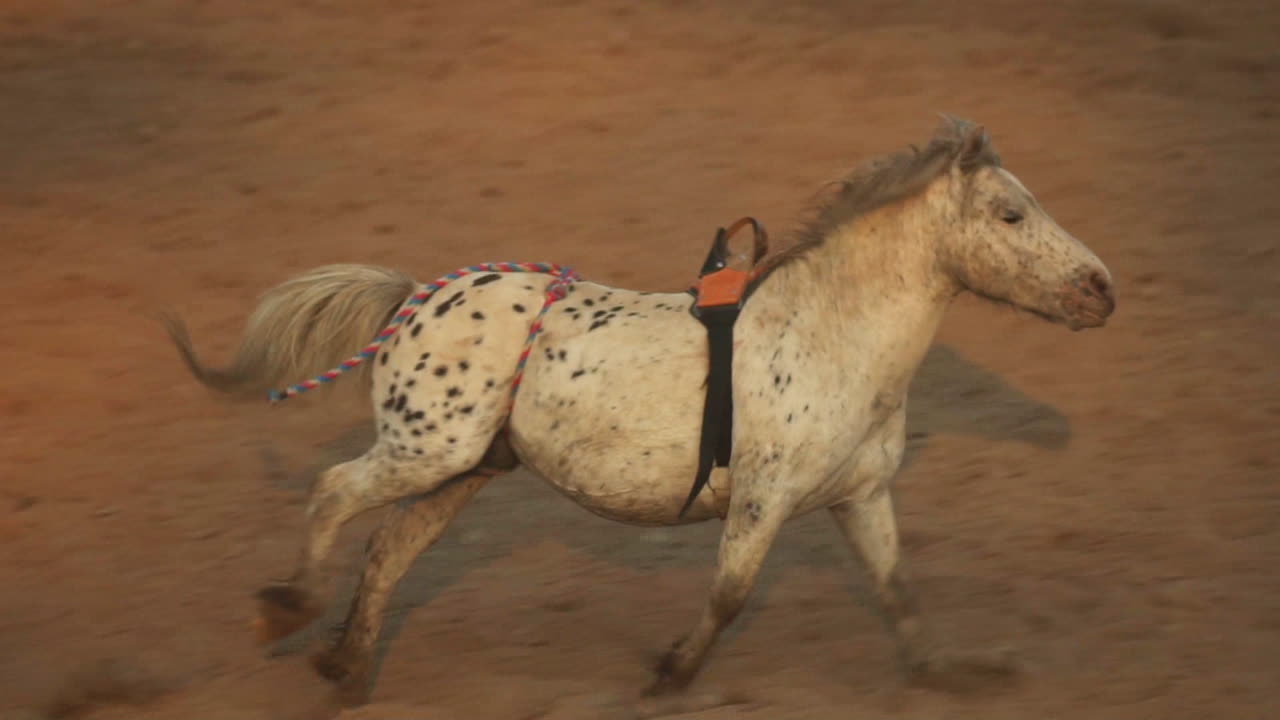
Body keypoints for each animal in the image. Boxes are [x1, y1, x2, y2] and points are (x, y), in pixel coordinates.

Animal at [162, 116, 1116, 706]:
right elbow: (730, 595)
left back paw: (347, 667)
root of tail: (410, 298)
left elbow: (897, 590)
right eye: (1010, 212)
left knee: (390, 547)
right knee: (332, 491)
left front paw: (954, 673)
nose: (1102, 290)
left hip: (469, 467)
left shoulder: (860, 496)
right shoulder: (763, 501)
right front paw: (665, 679)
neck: (830, 333)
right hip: (426, 451)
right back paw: (288, 613)